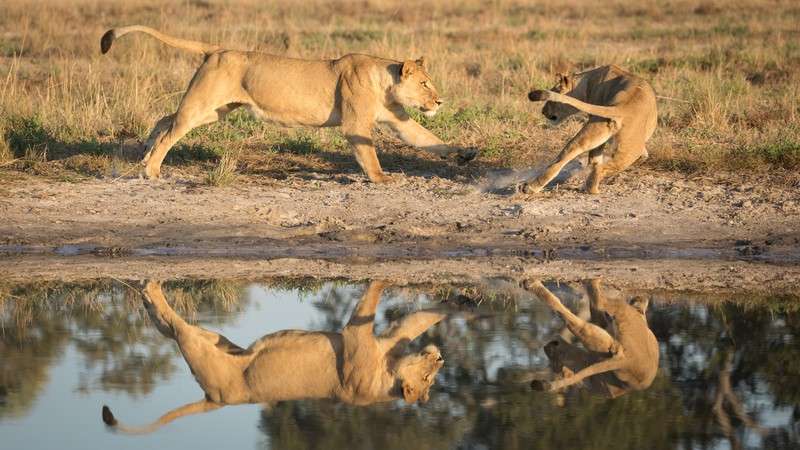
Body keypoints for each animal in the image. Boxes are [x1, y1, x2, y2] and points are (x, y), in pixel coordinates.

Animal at [100, 25, 476, 182]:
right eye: (425, 83)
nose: (439, 100)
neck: (384, 82)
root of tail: (217, 48)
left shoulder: (398, 121)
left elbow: (430, 140)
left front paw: (466, 154)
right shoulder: (355, 124)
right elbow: (368, 153)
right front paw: (382, 179)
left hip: (214, 111)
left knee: (166, 119)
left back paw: (145, 152)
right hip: (202, 105)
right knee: (171, 131)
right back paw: (151, 170)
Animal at [101, 280, 447, 434]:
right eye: (429, 377)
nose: (441, 360)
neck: (388, 373)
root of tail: (216, 401)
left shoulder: (358, 338)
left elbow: (387, 306)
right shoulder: (375, 338)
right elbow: (422, 317)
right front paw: (454, 304)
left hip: (205, 351)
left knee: (175, 327)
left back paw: (150, 290)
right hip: (215, 342)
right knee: (170, 327)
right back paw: (148, 292)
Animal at [522, 65, 657, 194]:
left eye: (551, 101)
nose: (543, 111)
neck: (585, 82)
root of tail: (620, 105)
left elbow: (594, 158)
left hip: (592, 131)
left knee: (563, 159)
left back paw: (530, 187)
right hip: (629, 151)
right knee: (601, 168)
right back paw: (592, 189)